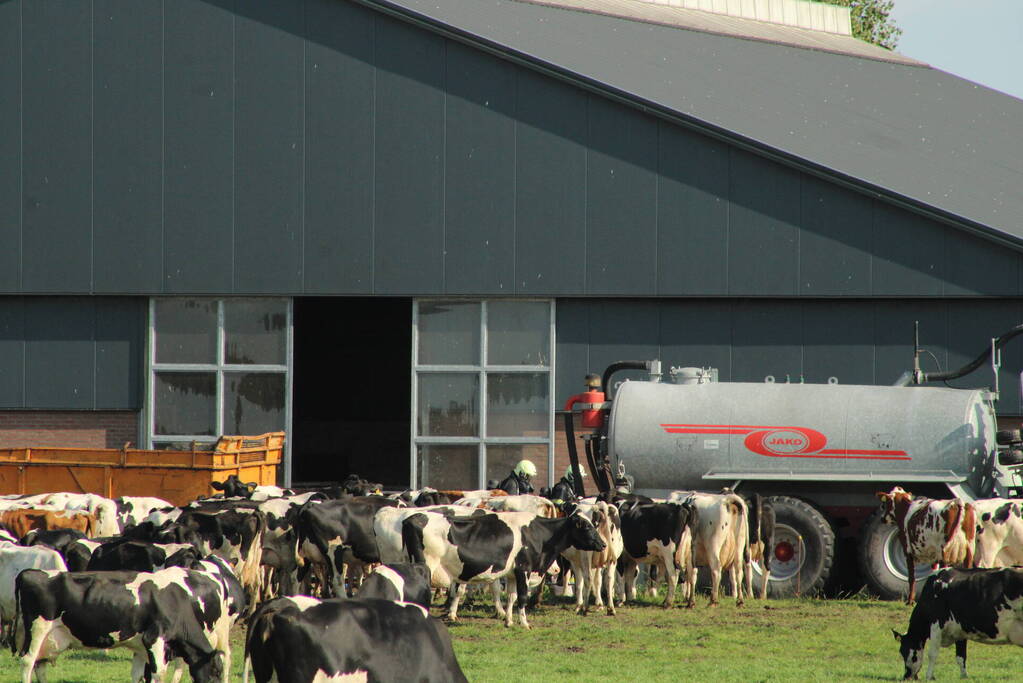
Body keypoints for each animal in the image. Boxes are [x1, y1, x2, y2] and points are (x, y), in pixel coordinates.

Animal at [14, 564, 229, 683]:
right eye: (216, 672)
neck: (172, 600)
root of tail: (29, 572)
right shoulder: (155, 638)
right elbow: (158, 674)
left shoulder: (141, 646)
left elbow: (139, 675)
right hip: (38, 628)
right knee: (28, 661)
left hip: (50, 639)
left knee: (40, 665)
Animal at [892, 564, 1023, 678]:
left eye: (903, 651)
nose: (906, 676)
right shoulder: (960, 630)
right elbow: (961, 656)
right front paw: (964, 676)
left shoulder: (936, 625)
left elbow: (932, 654)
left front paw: (929, 676)